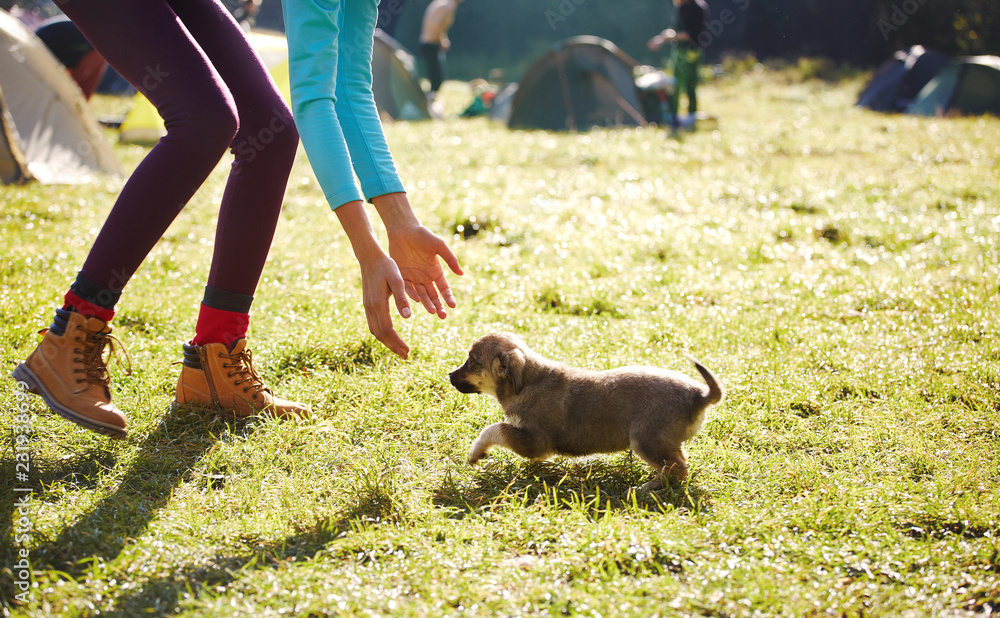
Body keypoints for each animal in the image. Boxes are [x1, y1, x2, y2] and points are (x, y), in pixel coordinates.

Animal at [450, 330, 724, 488]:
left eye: (472, 361)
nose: (450, 376)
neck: (526, 382)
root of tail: (700, 394)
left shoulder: (534, 441)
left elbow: (493, 428)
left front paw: (476, 453)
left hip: (647, 440)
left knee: (678, 468)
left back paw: (649, 489)